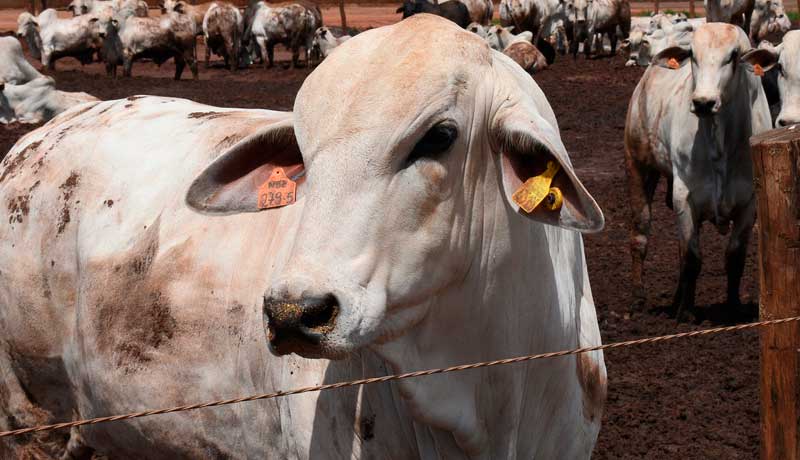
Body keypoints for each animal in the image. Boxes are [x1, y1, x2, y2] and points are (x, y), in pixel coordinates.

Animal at [620, 21, 772, 316]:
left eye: (733, 56)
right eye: (693, 55)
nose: (703, 102)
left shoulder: (749, 203)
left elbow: (734, 257)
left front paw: (732, 306)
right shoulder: (685, 195)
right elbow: (692, 256)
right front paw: (687, 313)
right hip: (638, 165)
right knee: (640, 234)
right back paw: (639, 297)